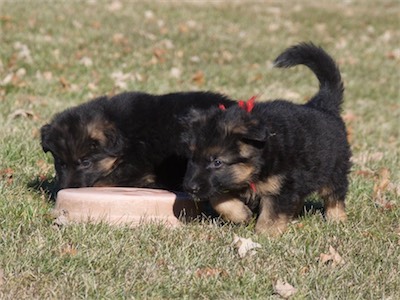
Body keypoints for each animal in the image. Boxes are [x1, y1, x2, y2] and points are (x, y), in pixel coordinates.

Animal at [183, 43, 352, 236]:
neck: (260, 158)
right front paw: (241, 215)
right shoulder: (224, 183)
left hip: (334, 171)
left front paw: (265, 235)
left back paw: (337, 220)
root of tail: (322, 105)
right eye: (192, 158)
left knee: (335, 197)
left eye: (217, 162)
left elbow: (271, 215)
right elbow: (218, 199)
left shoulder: (281, 187)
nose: (189, 188)